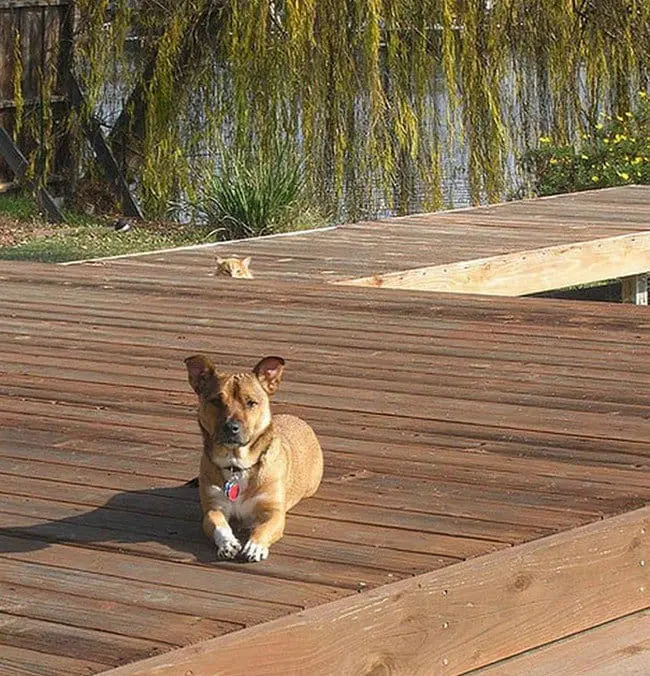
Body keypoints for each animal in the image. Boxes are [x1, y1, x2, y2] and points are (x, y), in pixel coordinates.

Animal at [184, 354, 322, 560]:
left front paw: (255, 545)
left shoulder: (273, 512)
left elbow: (263, 528)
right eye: (216, 401)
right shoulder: (213, 507)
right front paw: (228, 543)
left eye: (251, 403)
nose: (231, 427)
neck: (237, 464)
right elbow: (218, 524)